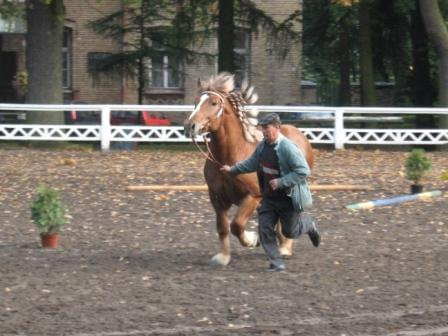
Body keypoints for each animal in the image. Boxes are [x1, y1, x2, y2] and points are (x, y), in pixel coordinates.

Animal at [184, 73, 314, 266]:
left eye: (213, 103)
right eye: (195, 101)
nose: (190, 126)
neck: (230, 155)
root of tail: (298, 134)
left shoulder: (252, 197)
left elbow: (237, 225)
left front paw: (252, 239)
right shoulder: (216, 198)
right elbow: (223, 227)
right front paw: (223, 257)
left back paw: (285, 247)